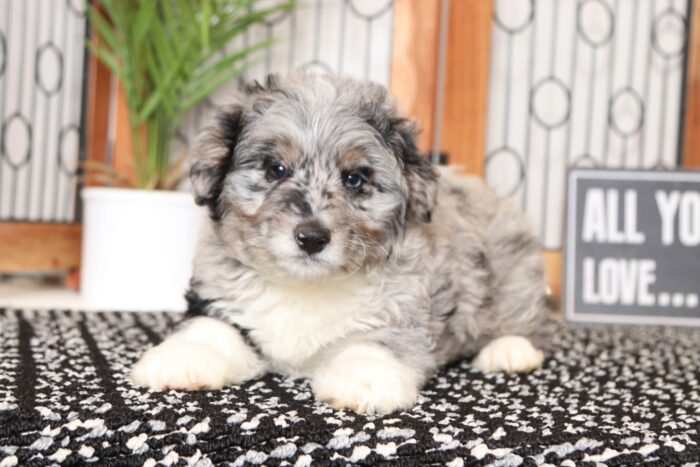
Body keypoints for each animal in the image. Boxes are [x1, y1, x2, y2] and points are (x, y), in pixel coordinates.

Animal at [130, 74, 548, 416]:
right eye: (275, 169)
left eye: (354, 179)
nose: (312, 237)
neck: (304, 286)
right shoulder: (217, 296)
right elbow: (211, 329)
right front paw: (184, 358)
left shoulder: (401, 310)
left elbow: (374, 344)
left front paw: (364, 380)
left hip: (513, 270)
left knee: (519, 316)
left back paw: (509, 350)